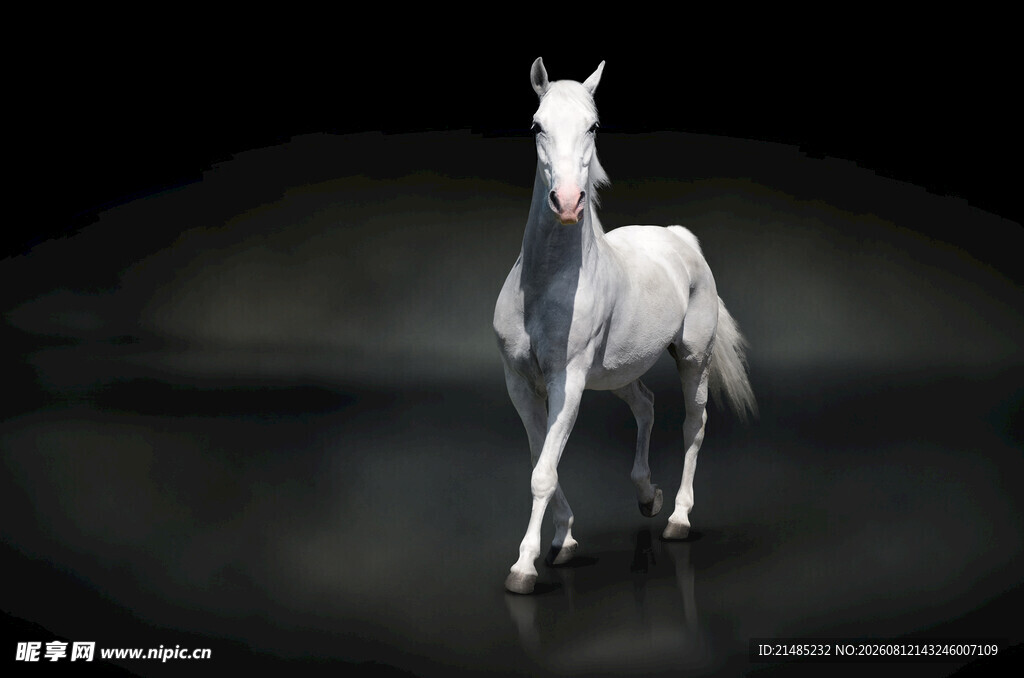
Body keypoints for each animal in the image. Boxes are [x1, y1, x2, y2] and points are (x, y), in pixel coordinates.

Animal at [492, 58, 757, 595]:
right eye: (536, 125)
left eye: (593, 126)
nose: (567, 202)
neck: (544, 285)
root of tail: (679, 239)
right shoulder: (520, 382)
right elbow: (542, 459)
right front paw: (565, 542)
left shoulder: (567, 381)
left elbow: (543, 473)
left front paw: (524, 567)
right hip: (616, 374)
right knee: (646, 406)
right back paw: (647, 496)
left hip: (693, 360)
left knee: (693, 425)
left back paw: (677, 517)